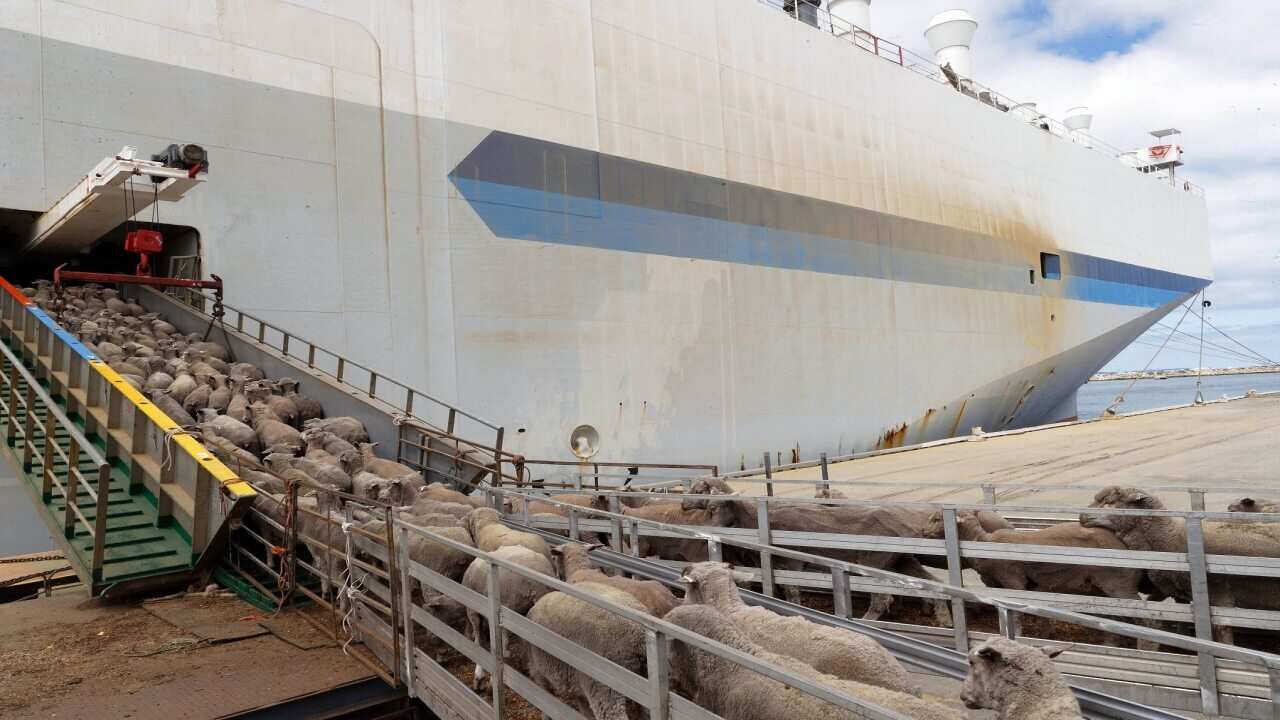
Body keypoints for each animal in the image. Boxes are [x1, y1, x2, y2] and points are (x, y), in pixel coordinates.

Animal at [516, 582, 648, 720]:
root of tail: (638, 634)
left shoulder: (537, 669)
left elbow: (544, 699)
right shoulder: (576, 683)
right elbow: (584, 708)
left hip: (605, 683)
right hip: (643, 679)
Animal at [1082, 486, 1280, 643]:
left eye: (1110, 501)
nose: (1082, 515)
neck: (1171, 537)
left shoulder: (1220, 599)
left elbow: (1222, 633)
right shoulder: (1181, 594)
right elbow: (1182, 624)